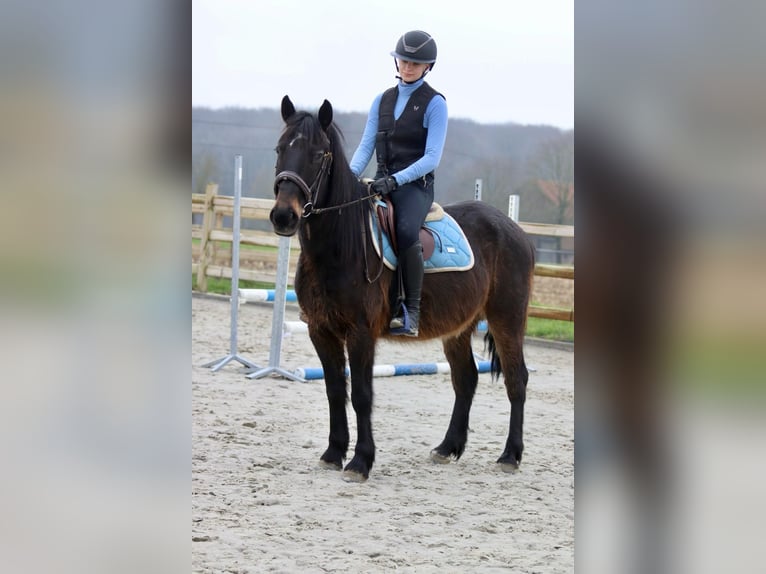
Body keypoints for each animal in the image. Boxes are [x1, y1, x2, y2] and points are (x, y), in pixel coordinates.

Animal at [272, 97, 536, 484]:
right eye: (280, 149)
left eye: (319, 154)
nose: (283, 217)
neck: (340, 246)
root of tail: (515, 230)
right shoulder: (320, 330)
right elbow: (335, 390)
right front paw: (333, 453)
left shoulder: (361, 333)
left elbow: (362, 394)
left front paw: (360, 462)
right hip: (458, 328)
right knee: (466, 379)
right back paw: (447, 448)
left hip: (507, 318)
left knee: (517, 379)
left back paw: (510, 455)